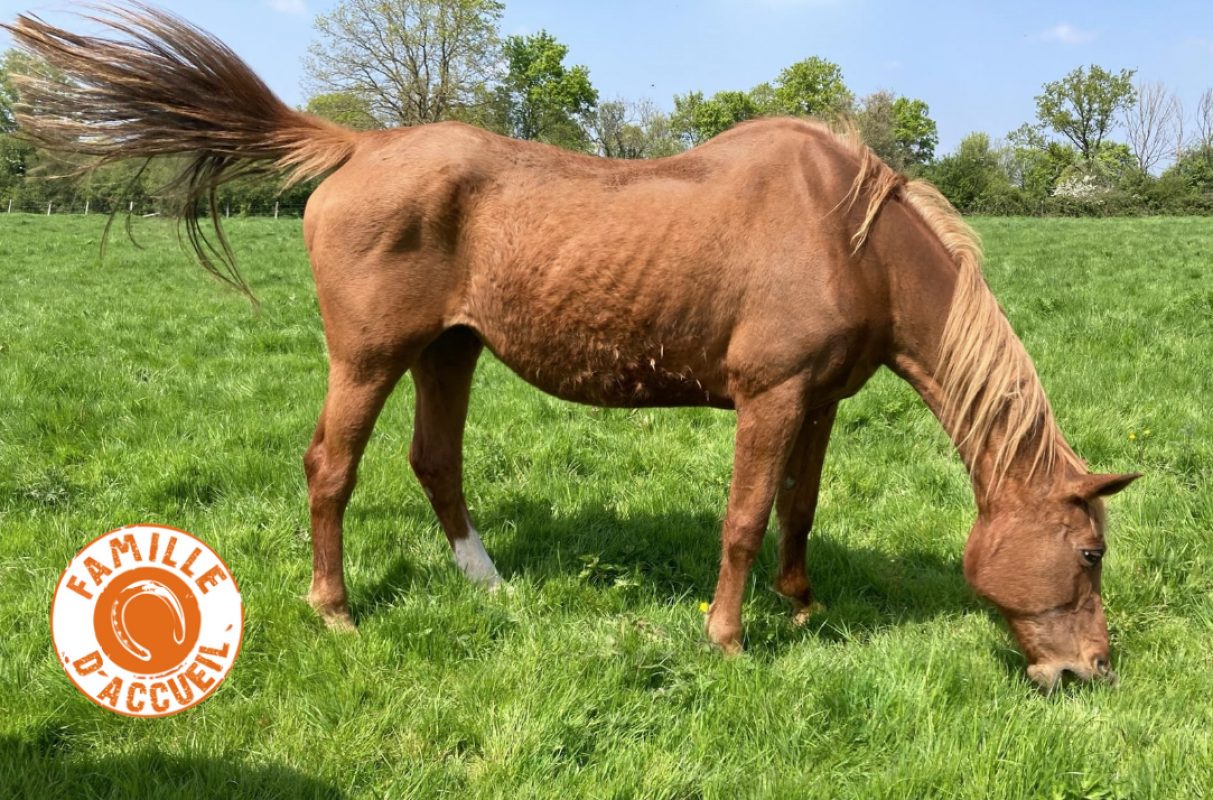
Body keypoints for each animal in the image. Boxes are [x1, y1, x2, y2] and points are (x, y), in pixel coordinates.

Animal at [5, 5, 1140, 690]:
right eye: (1087, 553)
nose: (1088, 670)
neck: (850, 239)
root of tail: (360, 146)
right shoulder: (769, 396)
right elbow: (742, 519)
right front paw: (728, 639)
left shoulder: (817, 400)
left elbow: (799, 509)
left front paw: (802, 608)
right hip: (368, 359)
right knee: (332, 467)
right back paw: (335, 612)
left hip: (449, 351)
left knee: (435, 460)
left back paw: (487, 582)